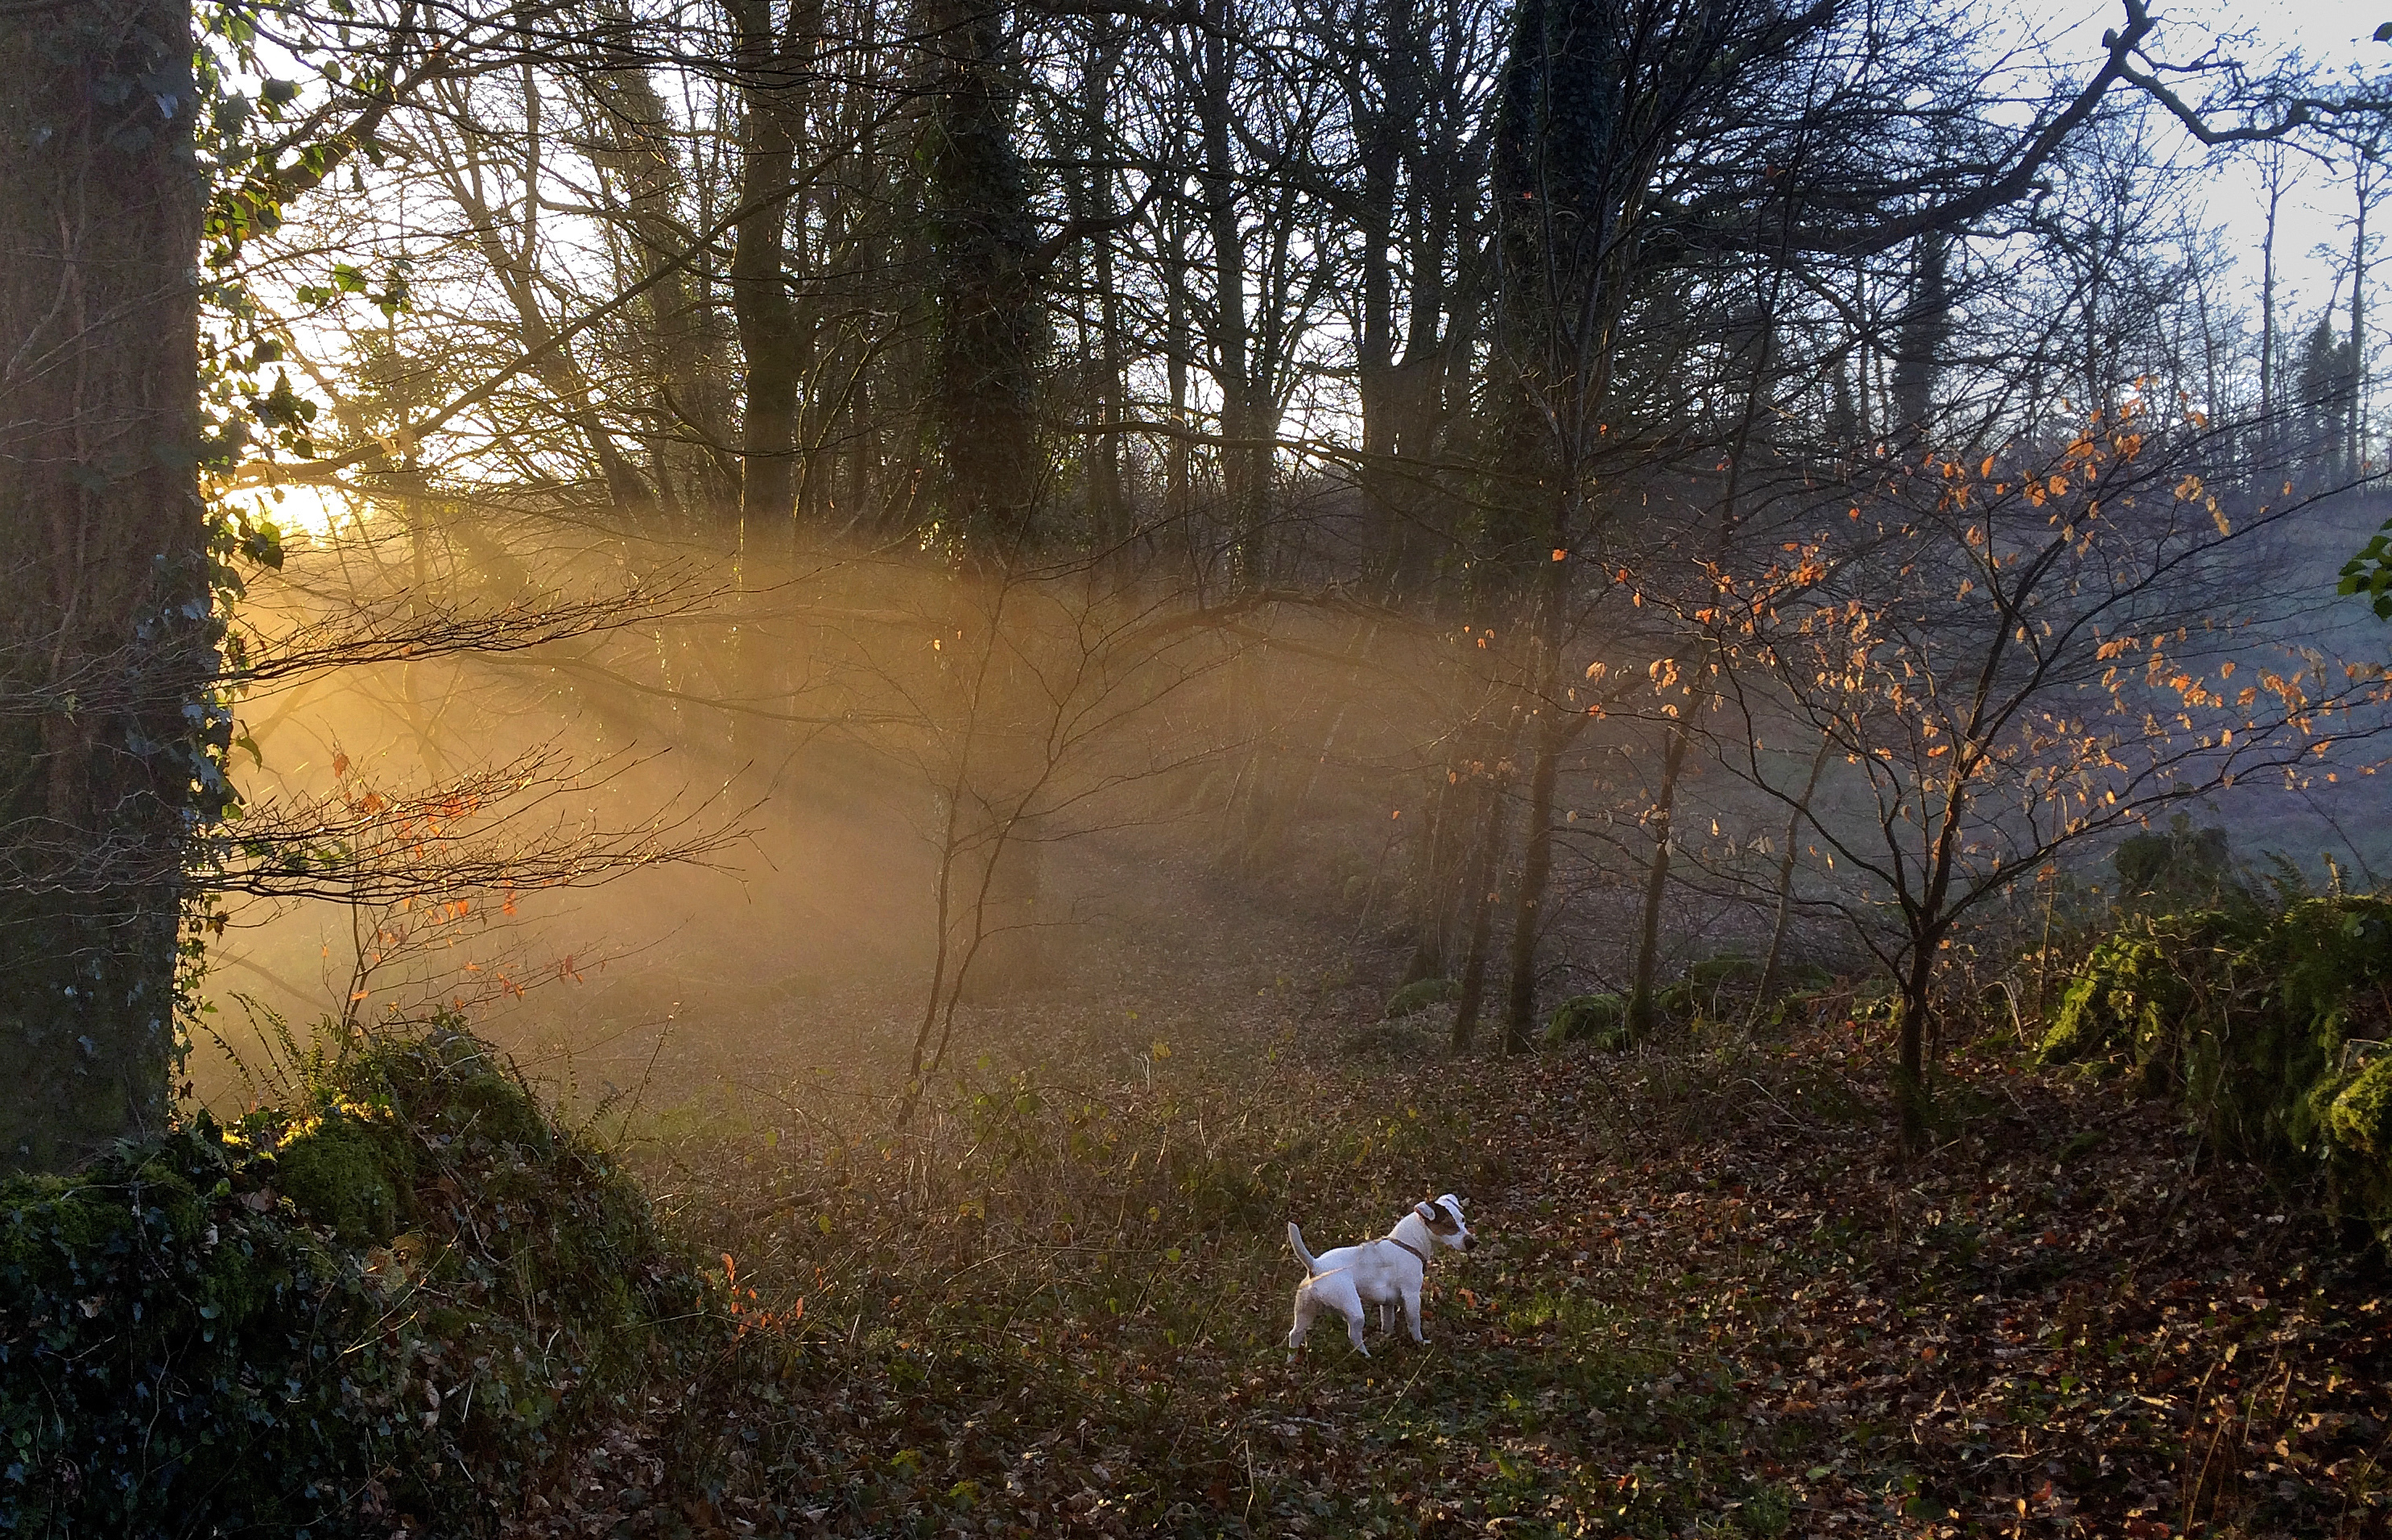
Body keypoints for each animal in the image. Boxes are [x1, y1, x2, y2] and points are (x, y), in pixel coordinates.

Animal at [1291, 1191, 1473, 1358]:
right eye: (1448, 1224)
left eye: (1463, 1220)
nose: (1473, 1243)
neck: (1409, 1244)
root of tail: (1316, 1266)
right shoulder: (1412, 1296)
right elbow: (1414, 1323)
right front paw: (1420, 1342)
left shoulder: (1387, 1304)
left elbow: (1388, 1323)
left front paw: (1387, 1339)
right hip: (1354, 1311)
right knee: (1354, 1336)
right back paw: (1366, 1356)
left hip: (1304, 1311)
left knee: (1295, 1334)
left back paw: (1291, 1360)